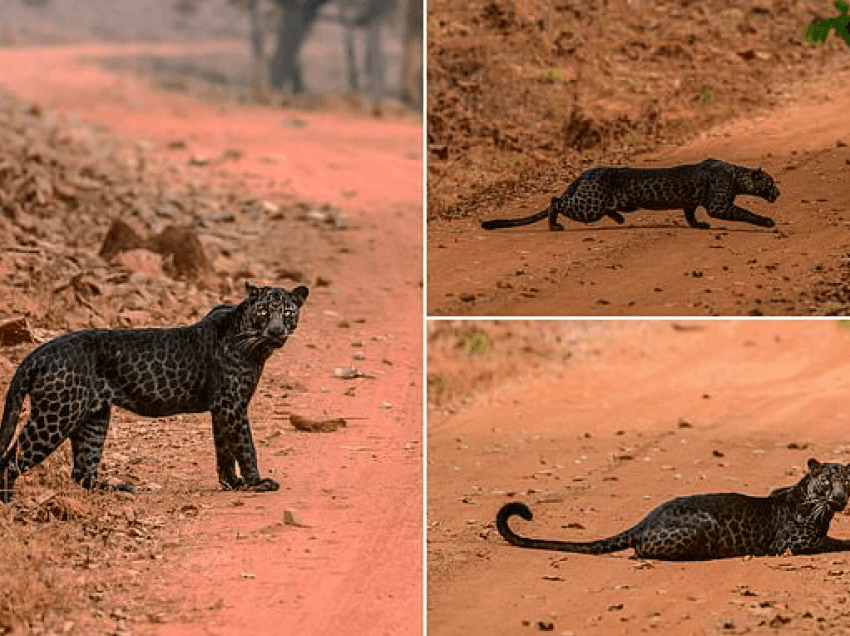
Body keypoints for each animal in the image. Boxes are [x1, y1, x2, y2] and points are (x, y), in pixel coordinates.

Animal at [0, 284, 310, 502]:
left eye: (287, 312)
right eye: (264, 312)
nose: (276, 330)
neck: (255, 345)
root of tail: (39, 352)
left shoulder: (222, 409)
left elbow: (224, 449)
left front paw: (232, 483)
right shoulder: (232, 405)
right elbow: (245, 445)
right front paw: (256, 482)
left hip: (94, 418)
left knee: (82, 471)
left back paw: (119, 488)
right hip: (56, 416)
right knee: (11, 459)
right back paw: (10, 503)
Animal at [496, 458, 848, 560]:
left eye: (847, 482)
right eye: (827, 483)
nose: (842, 498)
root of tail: (643, 521)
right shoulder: (791, 544)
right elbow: (831, 542)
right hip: (701, 525)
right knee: (640, 550)